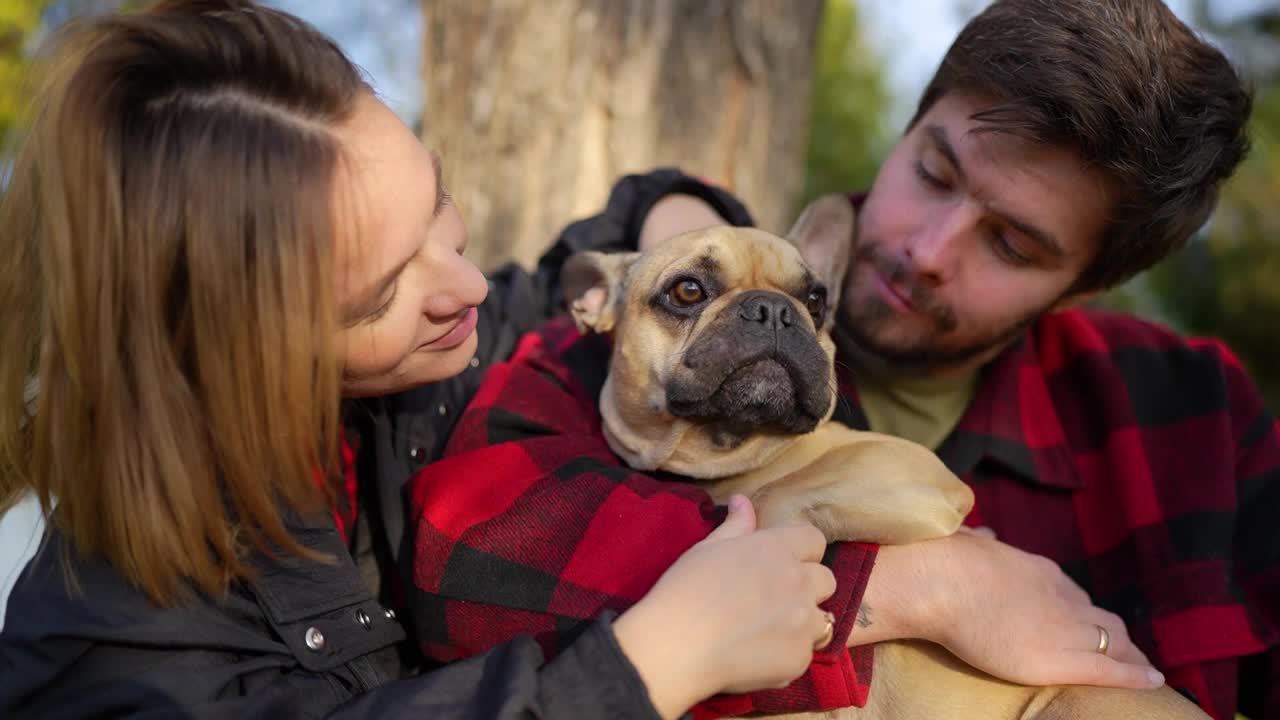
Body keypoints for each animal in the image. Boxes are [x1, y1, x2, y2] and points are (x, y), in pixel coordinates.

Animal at [565, 193, 1203, 712]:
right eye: (687, 290)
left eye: (816, 300)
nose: (773, 309)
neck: (726, 455)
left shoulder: (909, 471)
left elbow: (781, 493)